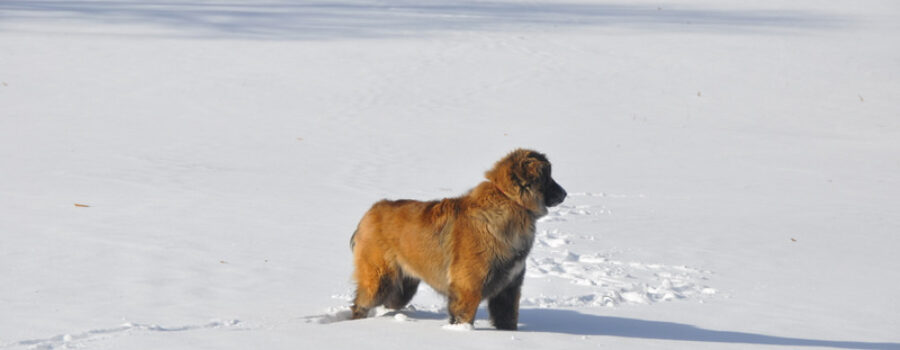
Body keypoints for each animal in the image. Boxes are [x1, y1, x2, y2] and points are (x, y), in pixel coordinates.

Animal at [348, 149, 568, 330]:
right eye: (547, 177)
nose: (565, 194)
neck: (509, 201)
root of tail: (370, 212)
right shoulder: (468, 290)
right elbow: (463, 318)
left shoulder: (508, 290)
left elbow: (507, 319)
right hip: (380, 279)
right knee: (360, 304)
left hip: (402, 287)